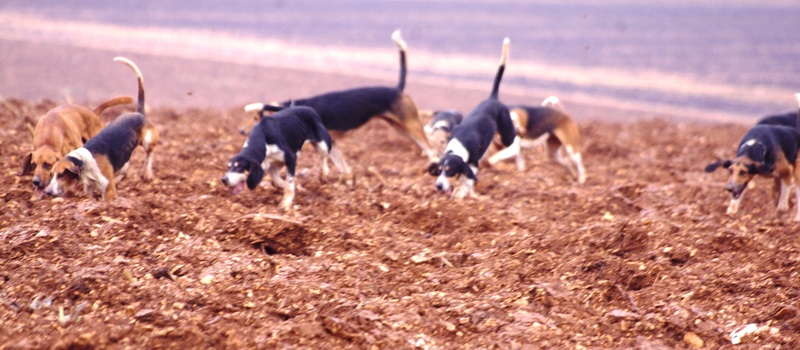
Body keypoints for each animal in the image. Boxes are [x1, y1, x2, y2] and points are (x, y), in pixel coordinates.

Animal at [43, 56, 159, 200]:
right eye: (51, 175)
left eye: (61, 175)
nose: (47, 191)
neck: (83, 162)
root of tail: (139, 113)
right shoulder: (88, 187)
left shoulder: (108, 191)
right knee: (125, 168)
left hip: (148, 142)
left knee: (149, 155)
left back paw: (147, 173)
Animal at [241, 29, 434, 186]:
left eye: (256, 118)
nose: (241, 131)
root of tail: (397, 90)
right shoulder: (332, 143)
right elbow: (343, 166)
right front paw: (345, 181)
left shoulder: (322, 143)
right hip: (401, 129)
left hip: (412, 127)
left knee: (433, 149)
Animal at [428, 37, 516, 200]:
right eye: (439, 170)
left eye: (449, 170)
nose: (438, 186)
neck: (459, 146)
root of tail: (492, 98)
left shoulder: (473, 165)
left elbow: (466, 179)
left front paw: (461, 192)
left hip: (508, 134)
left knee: (513, 138)